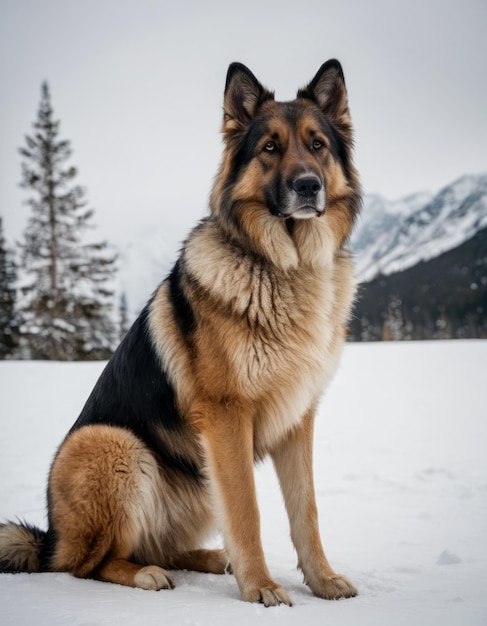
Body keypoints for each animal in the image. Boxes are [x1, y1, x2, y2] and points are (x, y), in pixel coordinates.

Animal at [0, 59, 362, 604]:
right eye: (270, 147)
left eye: (317, 144)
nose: (307, 186)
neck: (284, 267)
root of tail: (49, 540)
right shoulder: (227, 418)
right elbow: (249, 513)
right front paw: (262, 589)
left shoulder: (298, 419)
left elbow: (307, 512)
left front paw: (322, 580)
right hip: (112, 445)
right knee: (89, 565)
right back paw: (146, 575)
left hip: (198, 485)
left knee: (156, 546)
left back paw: (209, 558)